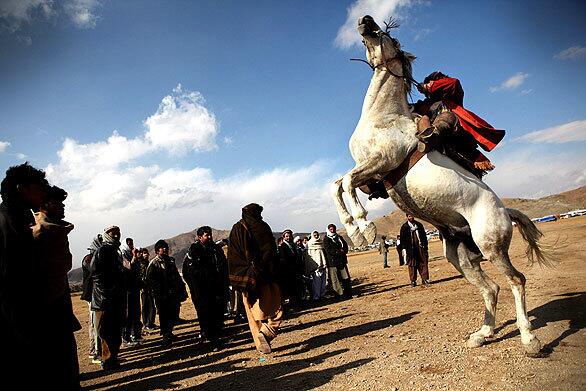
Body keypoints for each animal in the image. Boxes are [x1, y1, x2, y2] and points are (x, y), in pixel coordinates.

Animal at [330, 15, 548, 356]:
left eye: (392, 38)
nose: (365, 20)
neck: (384, 117)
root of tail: (505, 211)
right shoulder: (372, 175)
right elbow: (338, 185)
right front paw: (352, 228)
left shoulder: (381, 162)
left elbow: (348, 183)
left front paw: (364, 229)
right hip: (460, 255)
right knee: (491, 288)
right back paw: (482, 334)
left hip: (492, 246)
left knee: (517, 281)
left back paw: (529, 338)